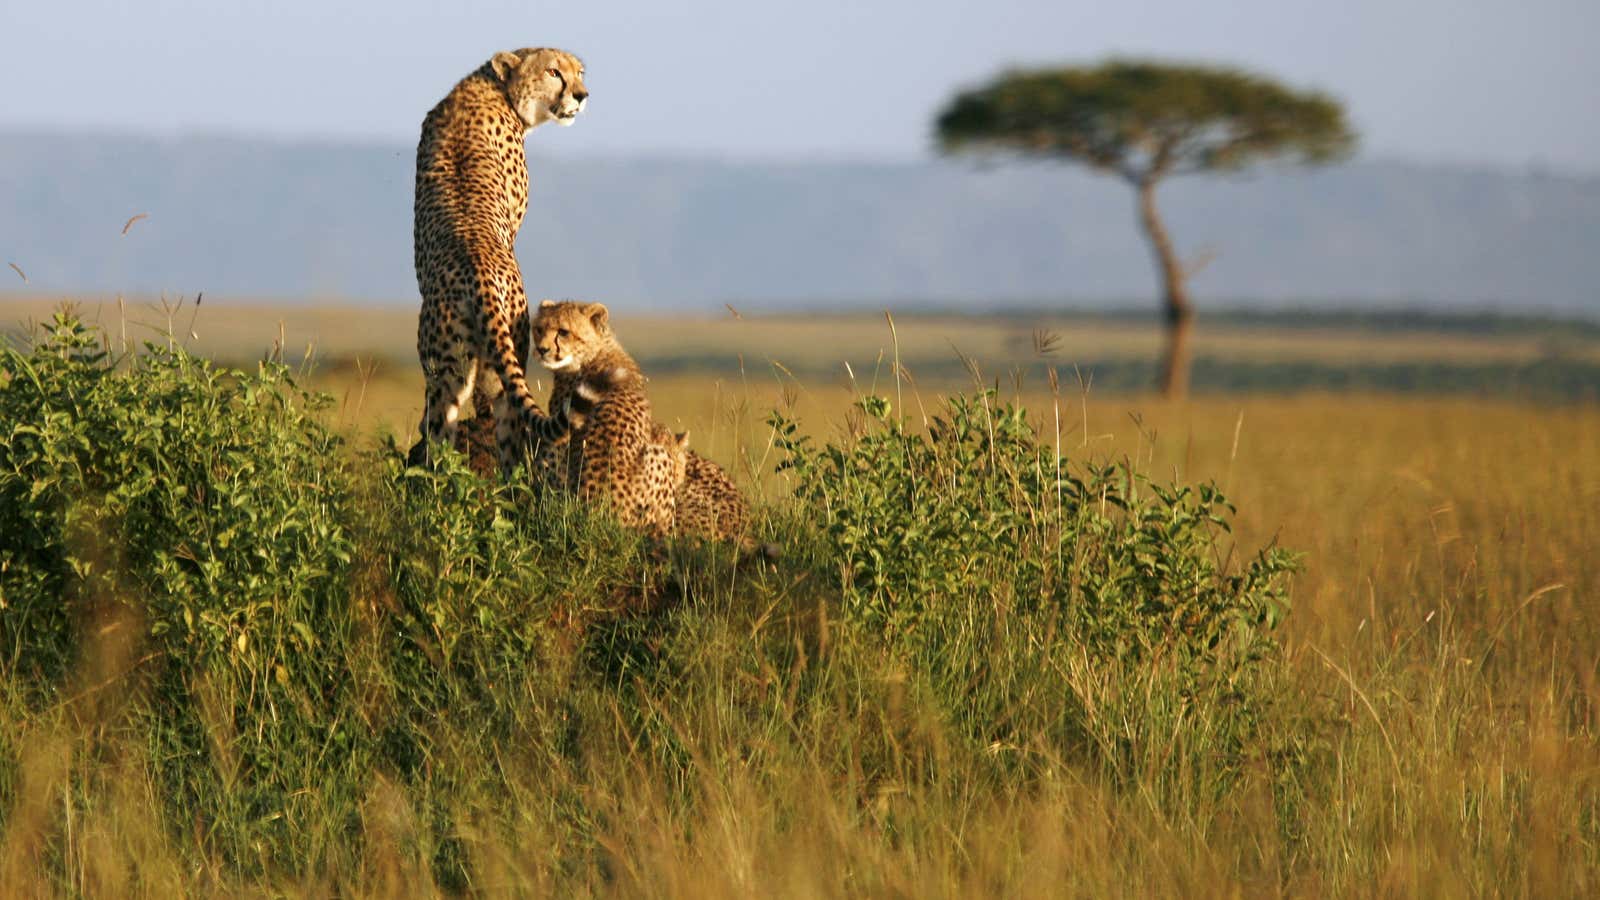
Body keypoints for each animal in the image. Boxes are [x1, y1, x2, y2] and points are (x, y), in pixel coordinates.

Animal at [409, 47, 592, 470]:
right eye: (554, 72)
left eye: (579, 72)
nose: (582, 95)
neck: (494, 85)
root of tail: (480, 273)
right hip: (484, 361)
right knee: (498, 435)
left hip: (453, 367)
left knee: (446, 432)